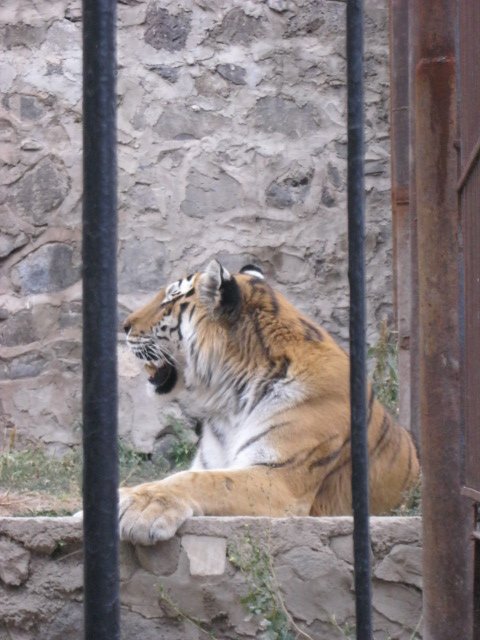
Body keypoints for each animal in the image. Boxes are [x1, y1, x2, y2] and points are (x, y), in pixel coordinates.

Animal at [119, 259, 419, 545]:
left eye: (169, 300)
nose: (124, 326)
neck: (231, 400)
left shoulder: (279, 477)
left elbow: (202, 481)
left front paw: (139, 504)